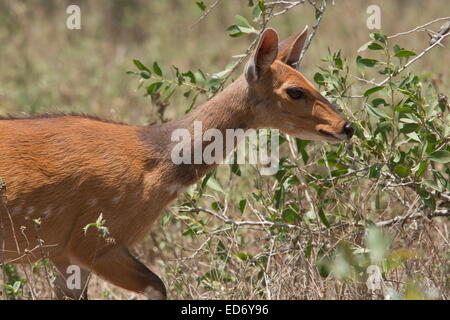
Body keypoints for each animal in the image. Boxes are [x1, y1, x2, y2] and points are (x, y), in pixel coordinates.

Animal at [0, 27, 352, 300]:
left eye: (312, 81)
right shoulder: (92, 240)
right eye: (294, 91)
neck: (153, 168)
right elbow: (158, 284)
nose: (347, 127)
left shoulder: (66, 254)